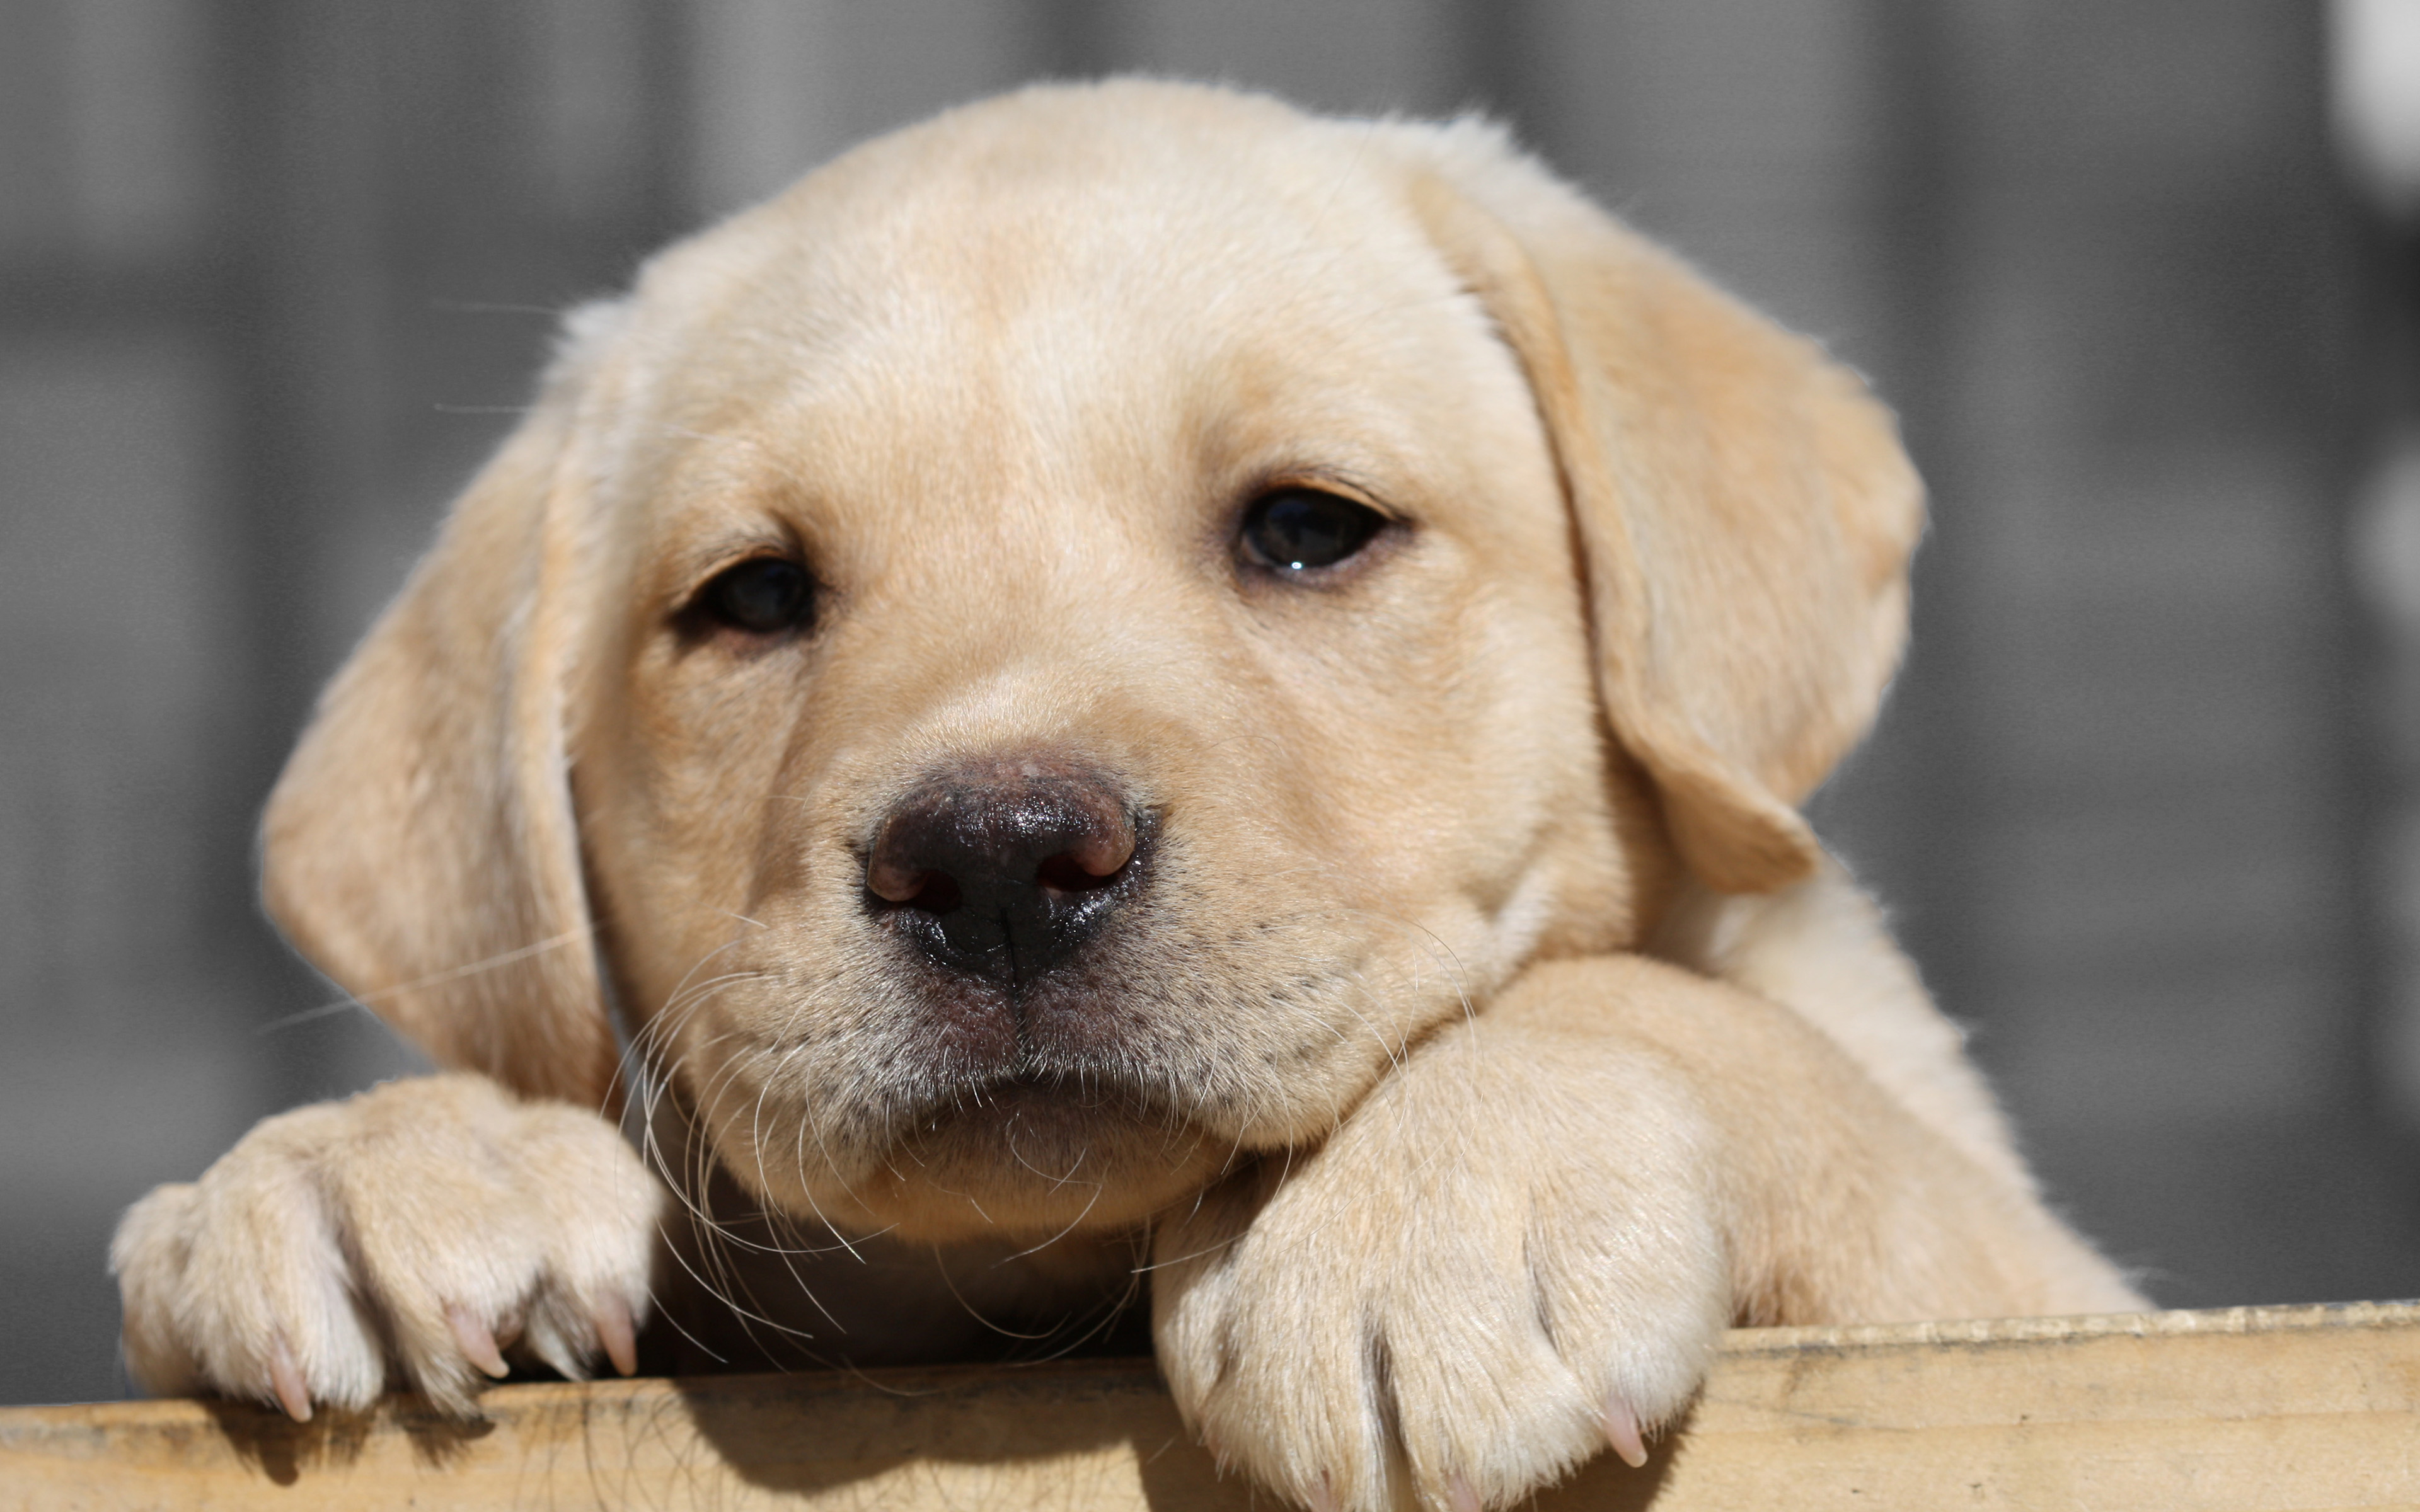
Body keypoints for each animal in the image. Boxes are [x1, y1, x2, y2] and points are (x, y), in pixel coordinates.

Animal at [108, 82, 2139, 1509]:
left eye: (1310, 528)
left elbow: (1708, 1030)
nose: (998, 861)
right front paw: (370, 1156)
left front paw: (1427, 1203)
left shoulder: (2053, 1301)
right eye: (750, 599)